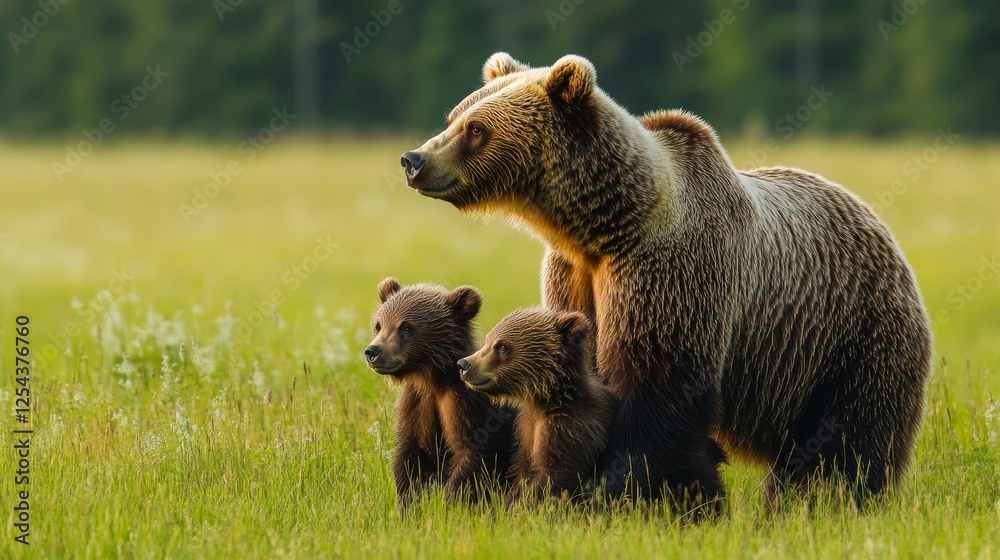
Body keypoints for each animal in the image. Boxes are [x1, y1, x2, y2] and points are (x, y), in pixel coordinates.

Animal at [365, 277, 515, 507]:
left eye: (407, 327)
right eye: (378, 325)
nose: (373, 351)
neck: (432, 380)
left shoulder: (465, 404)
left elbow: (472, 455)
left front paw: (450, 502)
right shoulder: (417, 404)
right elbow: (409, 457)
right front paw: (407, 503)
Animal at [456, 308, 615, 504]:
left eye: (502, 346)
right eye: (487, 341)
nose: (464, 364)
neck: (545, 401)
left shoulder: (569, 428)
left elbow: (555, 476)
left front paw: (519, 505)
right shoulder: (525, 431)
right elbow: (522, 473)